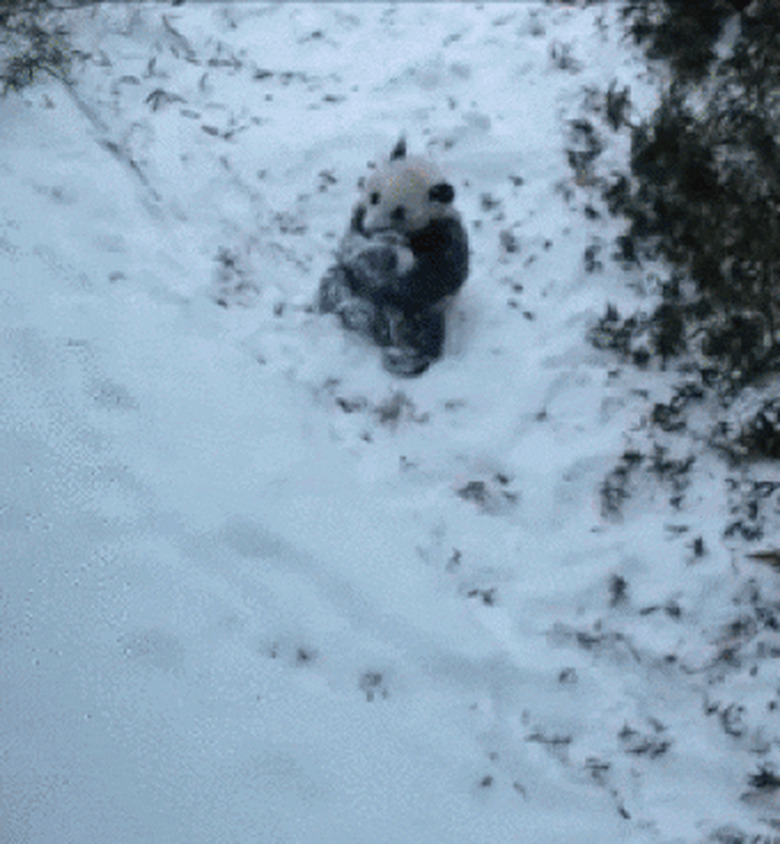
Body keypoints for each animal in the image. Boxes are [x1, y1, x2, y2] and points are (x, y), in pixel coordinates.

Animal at [318, 138, 470, 376]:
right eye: (375, 197)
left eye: (399, 212)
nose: (370, 228)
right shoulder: (357, 219)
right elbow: (349, 248)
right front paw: (373, 252)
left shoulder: (444, 234)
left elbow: (437, 276)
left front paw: (387, 255)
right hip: (349, 286)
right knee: (334, 282)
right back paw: (349, 308)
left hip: (424, 310)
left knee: (421, 330)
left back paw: (406, 357)